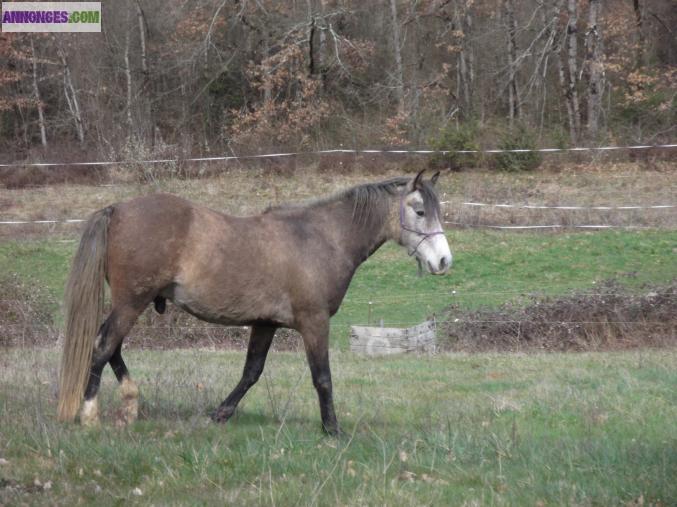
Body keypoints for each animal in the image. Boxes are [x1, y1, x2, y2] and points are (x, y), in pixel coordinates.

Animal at [56, 169, 452, 434]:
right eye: (419, 211)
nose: (444, 261)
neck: (321, 238)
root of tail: (118, 208)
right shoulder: (315, 322)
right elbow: (322, 377)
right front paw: (332, 430)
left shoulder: (265, 324)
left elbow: (251, 372)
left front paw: (220, 414)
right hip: (130, 303)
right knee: (103, 346)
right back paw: (89, 414)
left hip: (131, 303)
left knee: (111, 346)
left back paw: (129, 405)